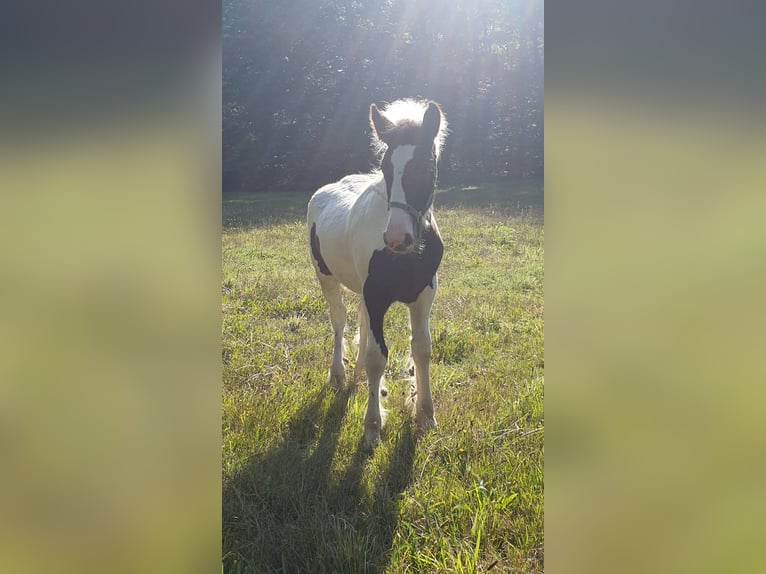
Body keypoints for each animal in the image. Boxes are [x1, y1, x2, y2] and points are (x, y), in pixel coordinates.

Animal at [308, 99, 448, 450]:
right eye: (385, 168)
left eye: (425, 166)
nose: (397, 238)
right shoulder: (376, 297)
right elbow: (376, 356)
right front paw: (372, 426)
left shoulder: (424, 295)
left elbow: (421, 349)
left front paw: (425, 415)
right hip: (326, 278)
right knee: (340, 320)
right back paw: (339, 375)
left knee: (358, 321)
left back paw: (357, 374)